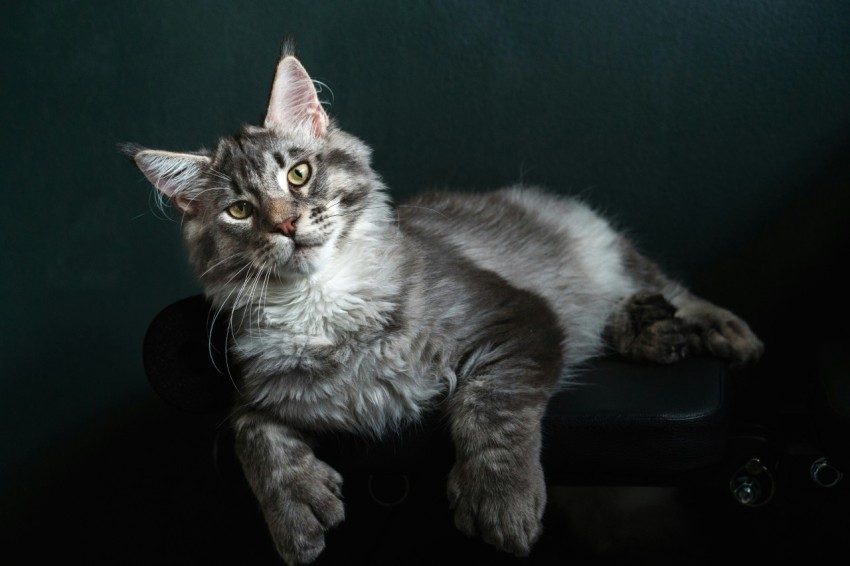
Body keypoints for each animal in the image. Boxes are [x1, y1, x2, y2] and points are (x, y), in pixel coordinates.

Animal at [124, 45, 760, 566]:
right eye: (239, 211)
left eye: (299, 175)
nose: (285, 225)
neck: (324, 303)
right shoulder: (264, 390)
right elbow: (249, 432)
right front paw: (295, 513)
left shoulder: (517, 316)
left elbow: (490, 406)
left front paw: (499, 501)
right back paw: (649, 331)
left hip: (603, 250)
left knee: (666, 286)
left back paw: (714, 330)